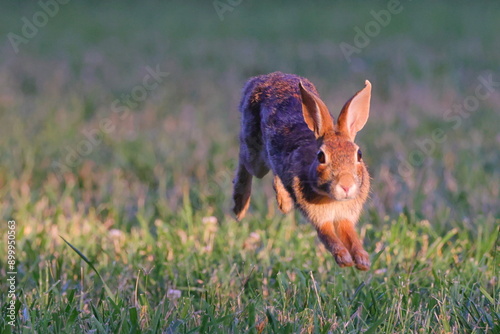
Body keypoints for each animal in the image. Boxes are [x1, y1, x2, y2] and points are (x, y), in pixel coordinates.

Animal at [231, 72, 372, 270]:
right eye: (321, 157)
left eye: (359, 155)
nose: (346, 186)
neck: (332, 199)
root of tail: (260, 79)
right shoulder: (320, 217)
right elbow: (328, 236)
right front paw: (344, 259)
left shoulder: (345, 216)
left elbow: (351, 236)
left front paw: (362, 261)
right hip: (255, 156)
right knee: (244, 161)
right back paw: (240, 207)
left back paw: (284, 203)